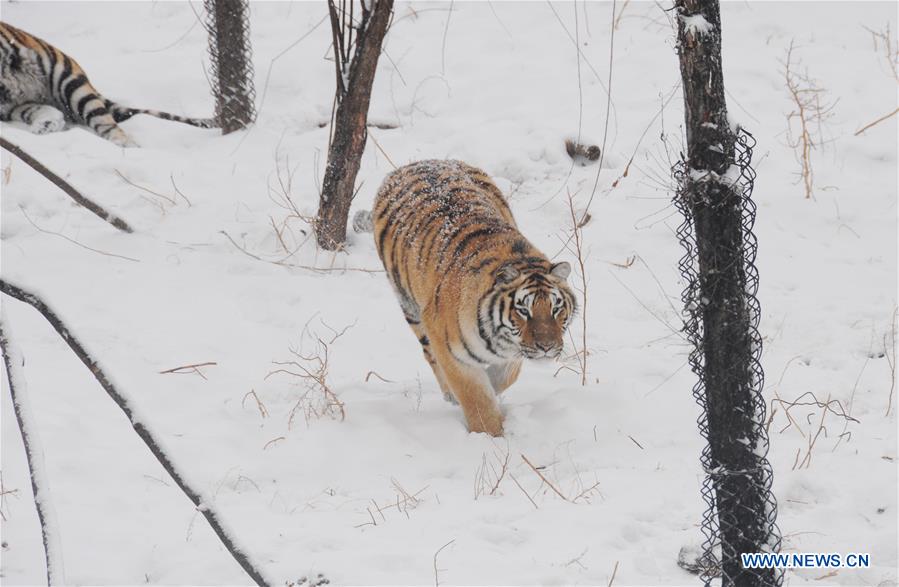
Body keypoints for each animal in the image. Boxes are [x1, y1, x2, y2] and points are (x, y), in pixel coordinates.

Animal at [370, 160, 576, 436]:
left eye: (556, 309)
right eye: (523, 311)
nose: (547, 347)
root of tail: (414, 163)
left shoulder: (511, 355)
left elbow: (504, 376)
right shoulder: (453, 354)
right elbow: (476, 398)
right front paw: (491, 436)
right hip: (410, 306)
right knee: (429, 353)